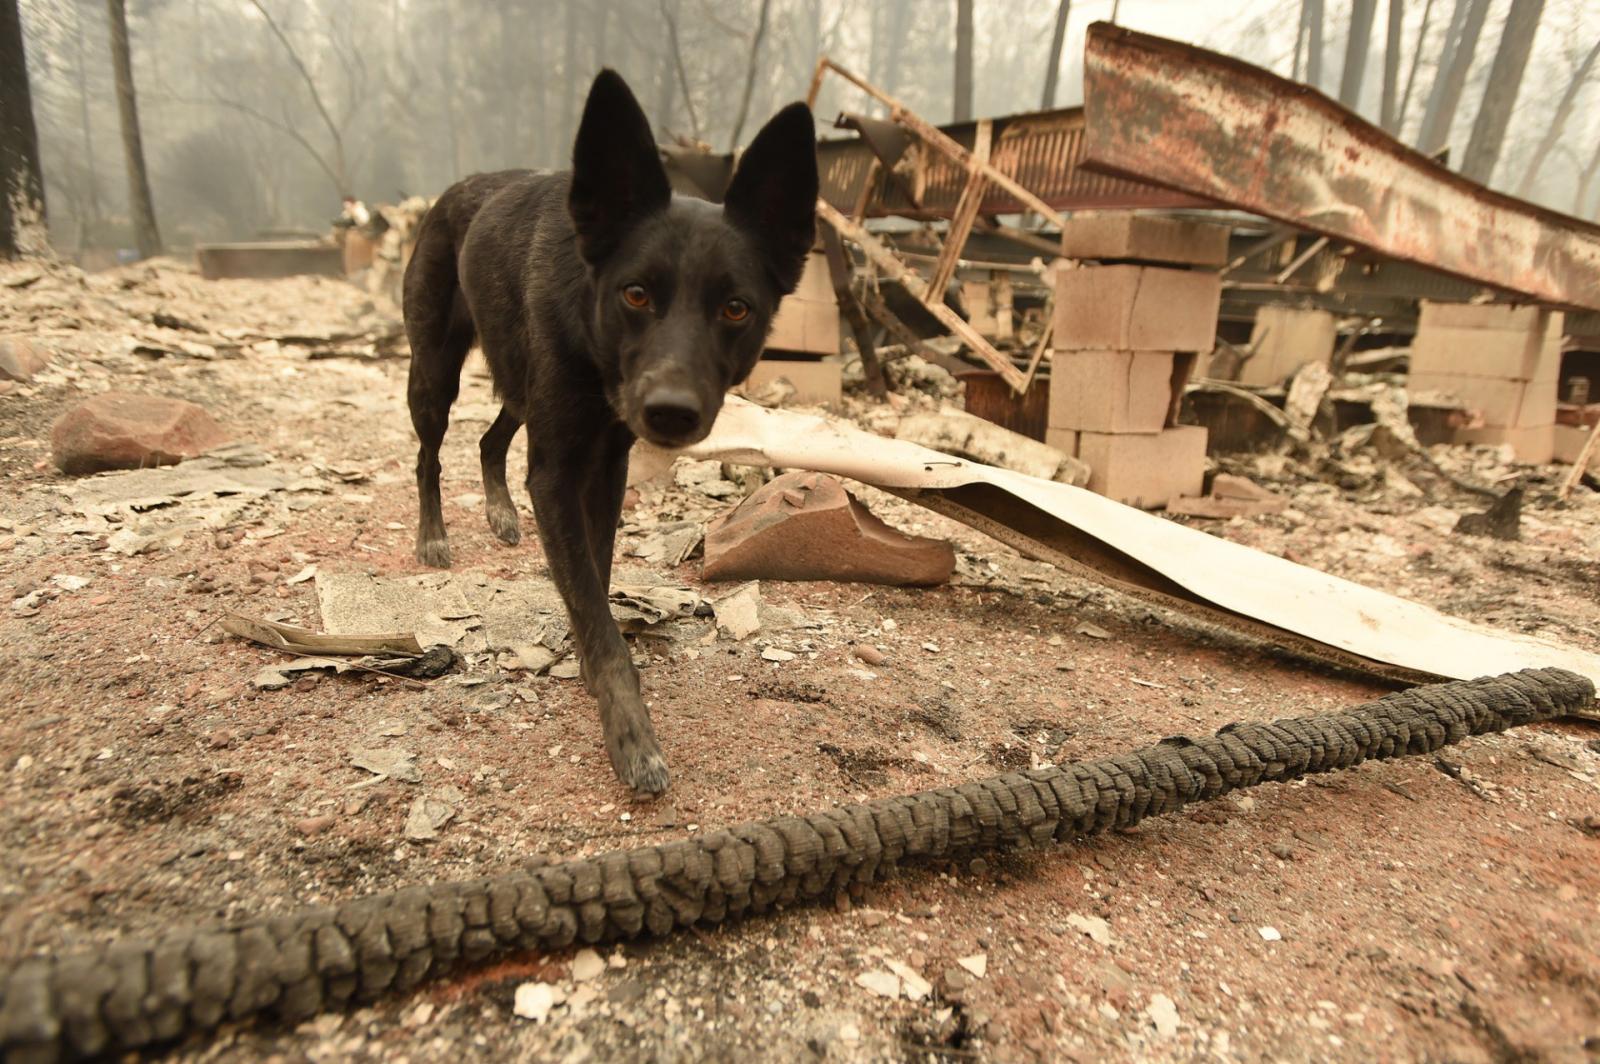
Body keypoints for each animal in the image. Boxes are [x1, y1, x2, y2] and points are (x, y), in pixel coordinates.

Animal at [403, 70, 825, 793]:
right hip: (434, 372)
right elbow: (595, 611)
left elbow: (593, 582)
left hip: (521, 386)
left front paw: (587, 653)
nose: (671, 412)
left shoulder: (604, 466)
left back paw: (500, 513)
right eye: (635, 294)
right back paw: (434, 535)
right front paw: (630, 731)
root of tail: (456, 190)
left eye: (736, 308)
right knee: (429, 455)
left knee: (490, 439)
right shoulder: (557, 472)